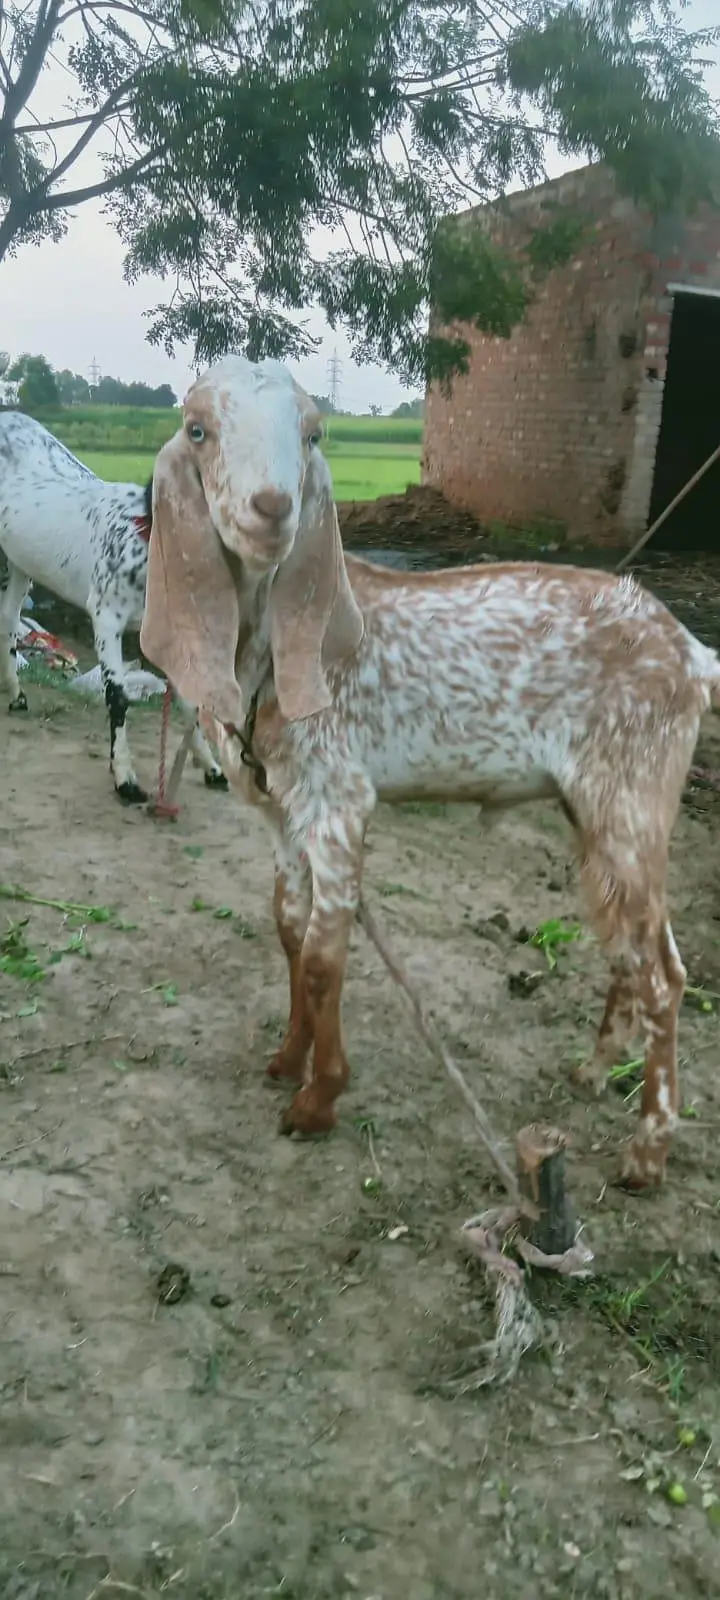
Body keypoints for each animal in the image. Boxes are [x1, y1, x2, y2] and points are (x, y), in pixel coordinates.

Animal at [0, 411, 228, 802]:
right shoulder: (106, 616)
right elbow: (118, 696)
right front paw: (125, 778)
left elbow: (187, 700)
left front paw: (211, 767)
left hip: (19, 561)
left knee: (8, 620)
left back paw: (16, 697)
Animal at [140, 354, 720, 1190]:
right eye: (197, 429)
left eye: (312, 432)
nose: (272, 509)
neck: (267, 653)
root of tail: (694, 654)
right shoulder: (283, 810)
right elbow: (288, 932)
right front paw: (287, 1059)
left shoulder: (341, 800)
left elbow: (324, 957)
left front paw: (319, 1099)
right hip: (597, 810)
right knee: (627, 945)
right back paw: (591, 1072)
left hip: (633, 797)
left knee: (666, 972)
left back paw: (647, 1151)